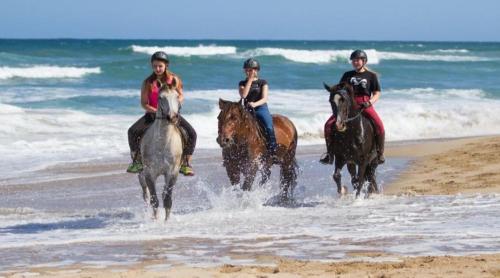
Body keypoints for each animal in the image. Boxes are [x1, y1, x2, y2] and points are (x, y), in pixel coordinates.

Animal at [138, 83, 183, 220]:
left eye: (177, 96)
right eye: (160, 98)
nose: (172, 117)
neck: (162, 144)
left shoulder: (172, 173)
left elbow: (167, 199)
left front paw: (166, 221)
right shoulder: (149, 173)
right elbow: (154, 200)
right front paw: (155, 220)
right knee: (145, 192)